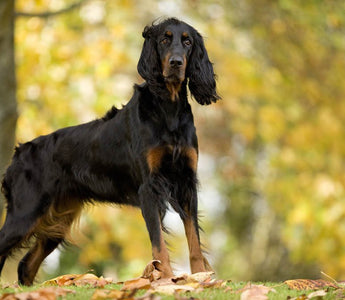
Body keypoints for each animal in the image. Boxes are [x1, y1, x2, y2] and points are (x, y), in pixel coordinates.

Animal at [0, 17, 219, 284]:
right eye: (164, 40)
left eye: (187, 42)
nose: (176, 62)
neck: (169, 109)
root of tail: (18, 155)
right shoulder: (149, 187)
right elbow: (159, 245)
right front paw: (166, 280)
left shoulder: (186, 183)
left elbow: (194, 240)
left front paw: (200, 278)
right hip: (25, 212)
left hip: (58, 218)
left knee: (26, 265)